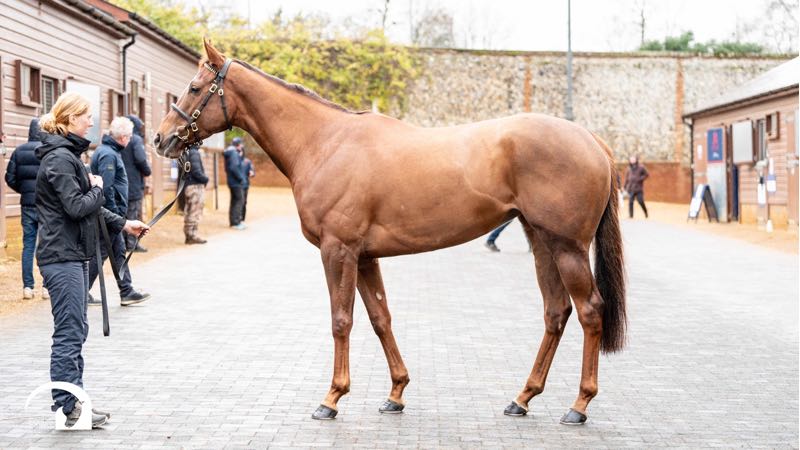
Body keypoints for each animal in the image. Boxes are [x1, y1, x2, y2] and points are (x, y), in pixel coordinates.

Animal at [154, 39, 626, 424]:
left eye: (194, 87)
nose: (162, 139)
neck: (324, 142)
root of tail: (592, 140)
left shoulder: (338, 251)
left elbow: (341, 320)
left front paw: (331, 398)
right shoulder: (365, 257)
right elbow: (381, 318)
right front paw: (396, 393)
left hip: (567, 247)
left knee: (590, 311)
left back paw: (578, 405)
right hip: (542, 243)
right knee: (556, 312)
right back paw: (523, 398)